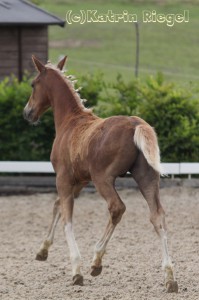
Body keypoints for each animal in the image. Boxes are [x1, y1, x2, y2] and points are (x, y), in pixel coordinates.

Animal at [22, 55, 177, 292]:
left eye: (33, 84)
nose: (27, 112)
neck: (70, 121)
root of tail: (136, 123)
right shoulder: (79, 181)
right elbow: (58, 206)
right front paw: (43, 250)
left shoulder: (63, 179)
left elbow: (67, 217)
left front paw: (76, 270)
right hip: (146, 178)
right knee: (157, 216)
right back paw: (169, 277)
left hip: (103, 179)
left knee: (117, 208)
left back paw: (96, 261)